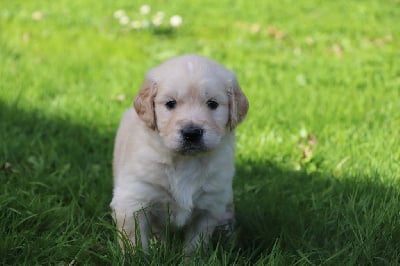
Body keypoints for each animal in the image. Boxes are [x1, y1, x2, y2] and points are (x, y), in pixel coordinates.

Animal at [109, 53, 247, 254]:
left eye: (212, 104)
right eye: (170, 103)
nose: (192, 133)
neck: (185, 161)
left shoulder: (209, 206)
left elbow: (196, 244)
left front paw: (192, 258)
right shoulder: (134, 199)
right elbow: (134, 242)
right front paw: (137, 256)